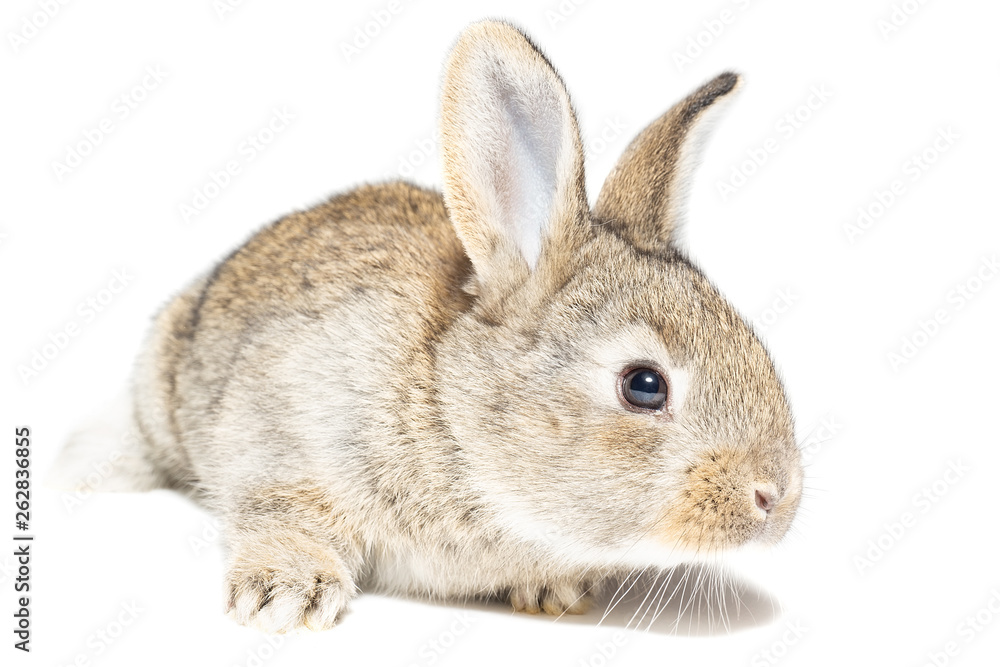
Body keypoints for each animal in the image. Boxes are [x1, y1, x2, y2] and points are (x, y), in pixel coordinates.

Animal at [52, 20, 804, 636]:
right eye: (644, 385)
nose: (777, 496)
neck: (454, 416)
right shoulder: (279, 433)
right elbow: (279, 508)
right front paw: (288, 595)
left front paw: (553, 591)